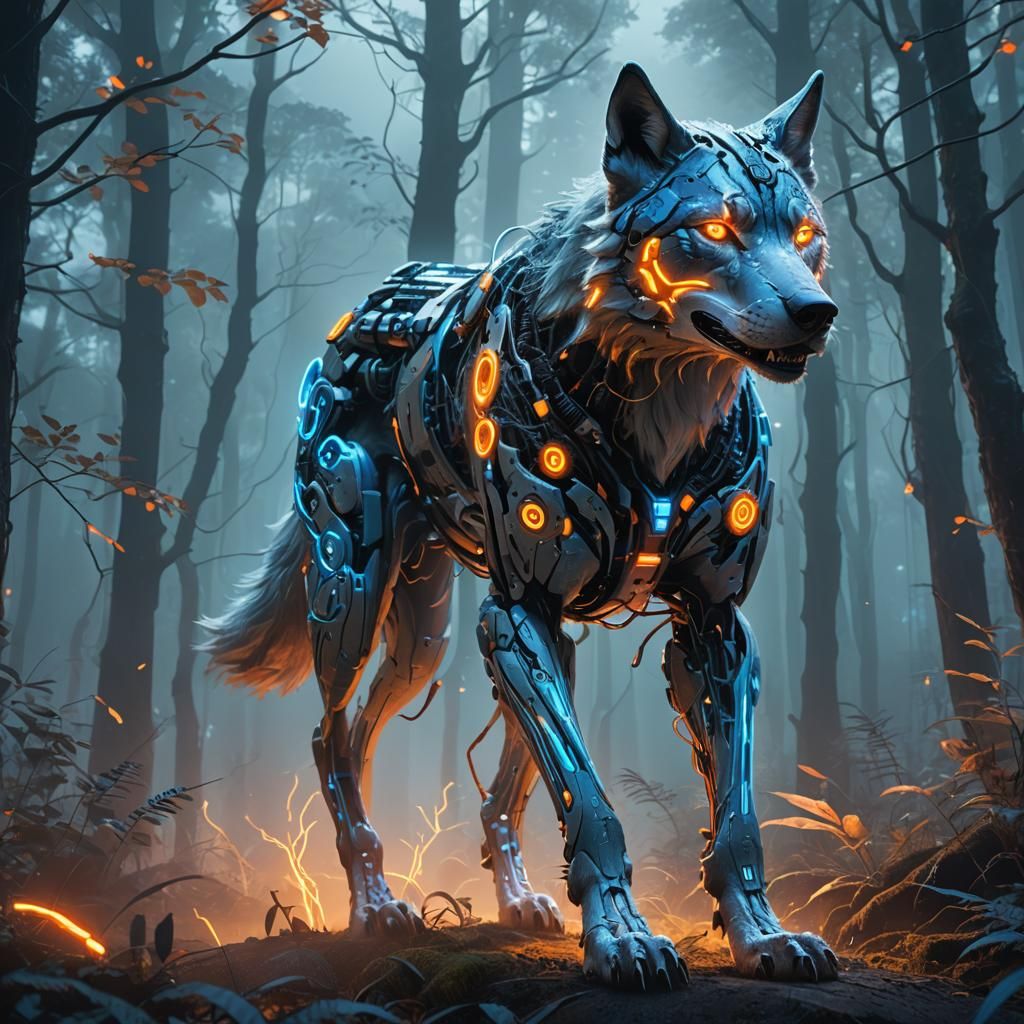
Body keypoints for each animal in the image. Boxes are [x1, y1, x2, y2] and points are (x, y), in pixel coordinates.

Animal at [203, 63, 840, 989]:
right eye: (715, 229)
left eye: (804, 235)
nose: (817, 311)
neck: (659, 413)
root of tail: (360, 309)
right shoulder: (521, 610)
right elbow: (597, 809)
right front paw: (624, 941)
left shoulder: (712, 624)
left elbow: (734, 819)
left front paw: (763, 937)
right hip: (365, 611)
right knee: (333, 741)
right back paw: (376, 905)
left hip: (459, 644)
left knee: (472, 780)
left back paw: (514, 901)